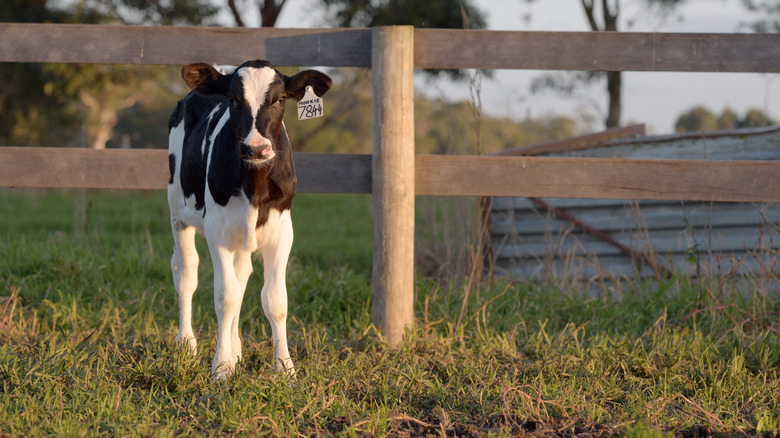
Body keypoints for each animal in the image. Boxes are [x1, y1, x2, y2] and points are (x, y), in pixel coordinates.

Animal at [168, 59, 332, 380]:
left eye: (280, 100)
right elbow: (225, 297)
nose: (256, 148)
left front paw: (285, 369)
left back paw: (236, 349)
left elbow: (275, 300)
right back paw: (186, 345)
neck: (254, 185)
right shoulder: (216, 230)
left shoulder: (283, 232)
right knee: (186, 272)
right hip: (178, 210)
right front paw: (221, 367)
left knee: (241, 275)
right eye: (233, 100)